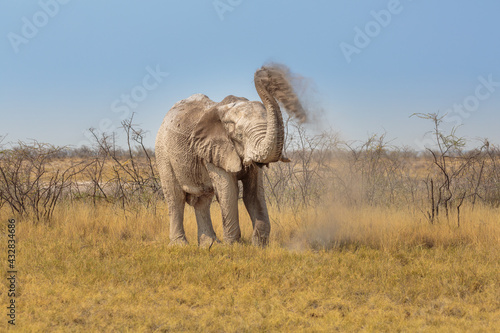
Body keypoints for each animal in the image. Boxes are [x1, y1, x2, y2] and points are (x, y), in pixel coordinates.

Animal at [155, 63, 304, 246]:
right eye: (239, 135)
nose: (262, 71)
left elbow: (253, 194)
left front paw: (258, 245)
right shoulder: (213, 150)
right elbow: (229, 192)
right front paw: (233, 246)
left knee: (203, 200)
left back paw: (210, 245)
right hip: (163, 153)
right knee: (175, 198)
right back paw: (181, 245)